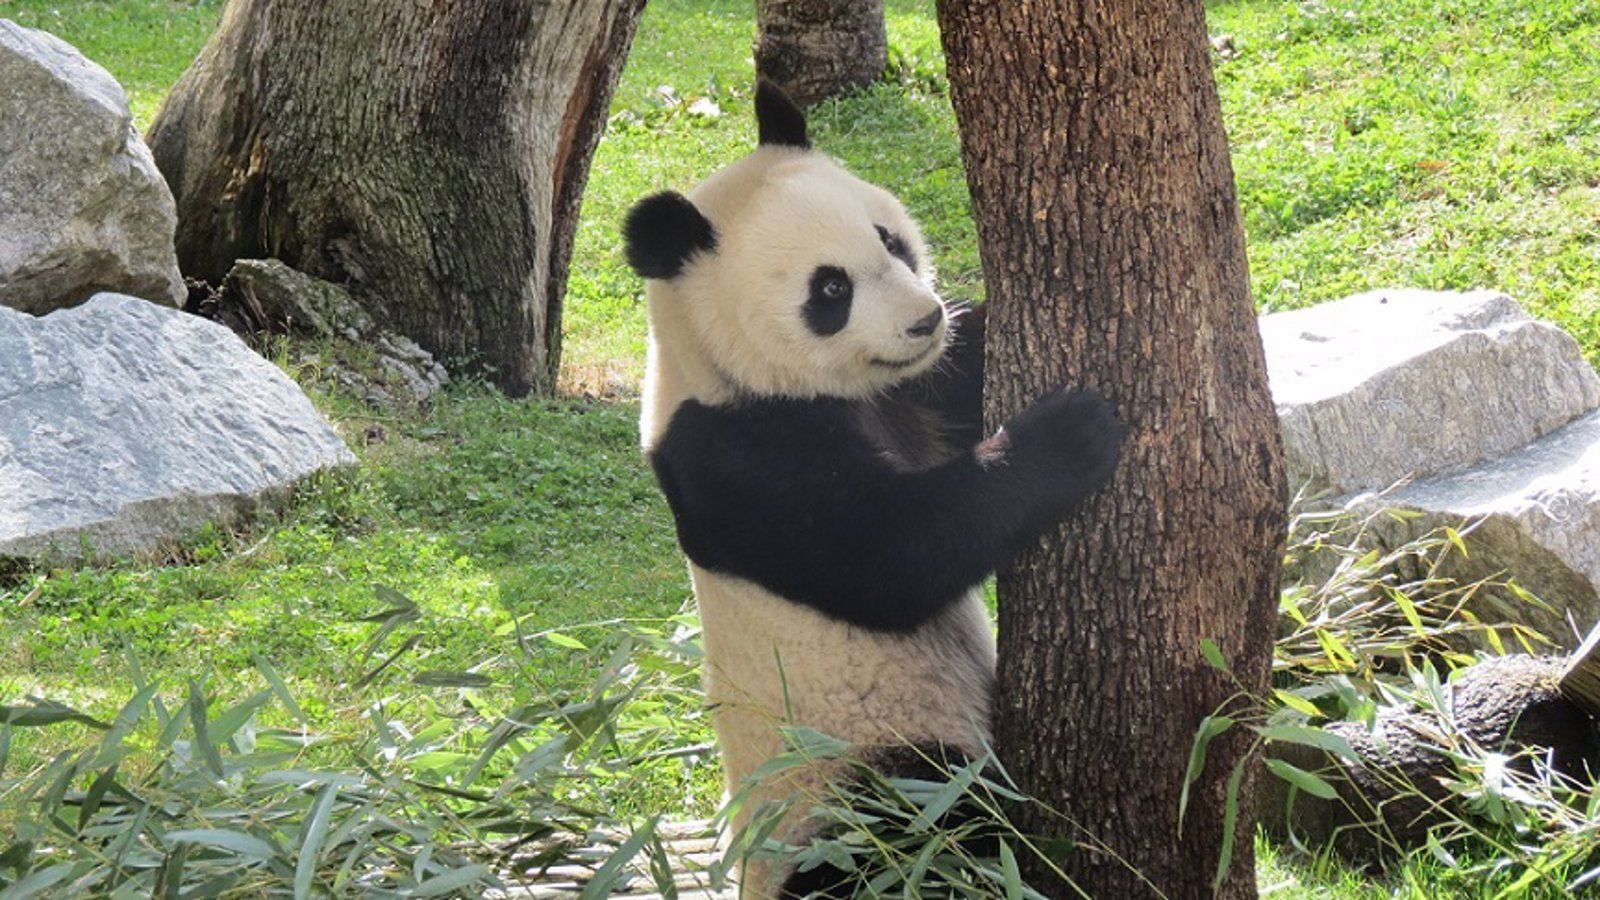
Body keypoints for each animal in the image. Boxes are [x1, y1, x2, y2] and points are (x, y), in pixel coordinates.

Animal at [624, 82, 1126, 890]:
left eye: (890, 240)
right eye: (830, 288)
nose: (924, 320)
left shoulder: (918, 388)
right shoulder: (733, 453)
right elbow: (889, 557)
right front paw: (1071, 432)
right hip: (856, 777)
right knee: (926, 827)